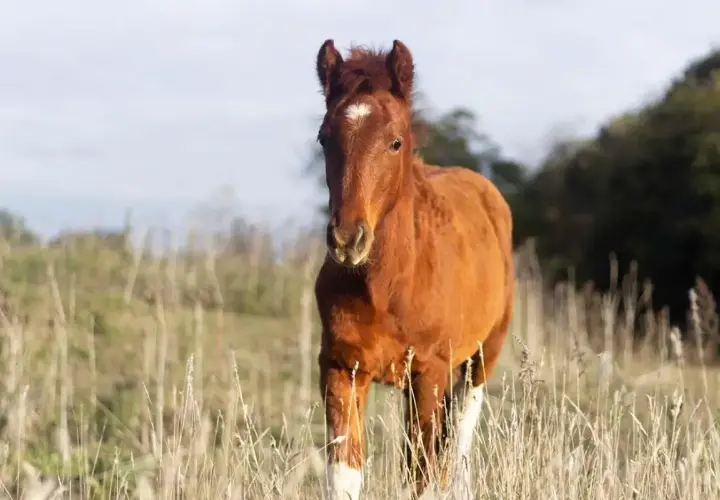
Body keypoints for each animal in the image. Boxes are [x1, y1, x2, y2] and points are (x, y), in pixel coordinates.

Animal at [313, 39, 514, 500]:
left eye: (395, 142)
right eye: (324, 139)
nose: (347, 240)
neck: (389, 285)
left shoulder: (430, 373)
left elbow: (422, 478)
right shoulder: (340, 367)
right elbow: (345, 472)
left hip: (480, 360)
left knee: (458, 445)